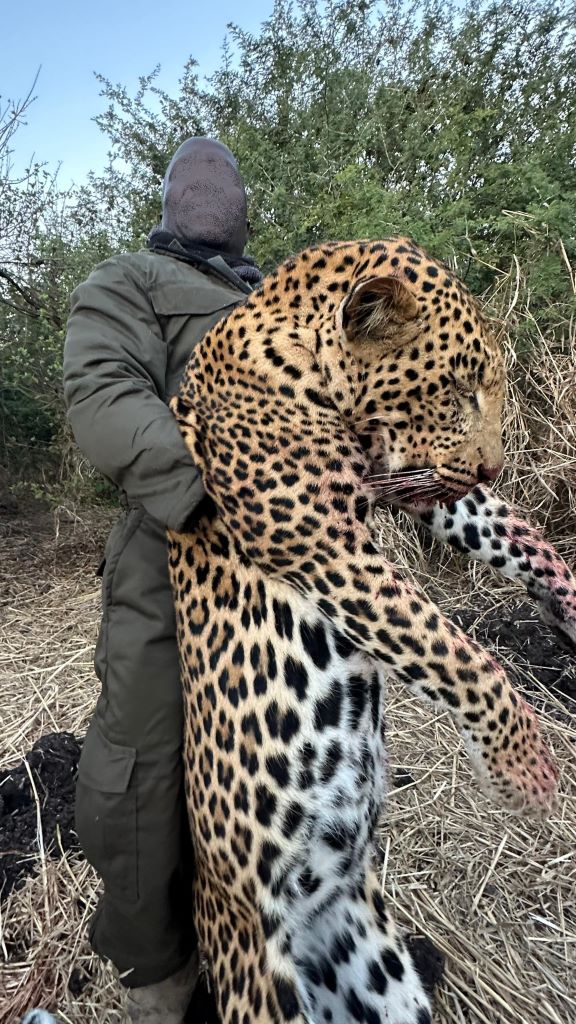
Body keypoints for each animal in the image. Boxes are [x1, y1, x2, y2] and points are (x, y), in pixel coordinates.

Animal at [167, 237, 576, 1024]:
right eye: (458, 389)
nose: (494, 465)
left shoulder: (418, 483)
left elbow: (507, 532)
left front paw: (566, 596)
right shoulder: (329, 548)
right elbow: (459, 655)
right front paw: (525, 772)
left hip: (382, 971)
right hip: (256, 981)